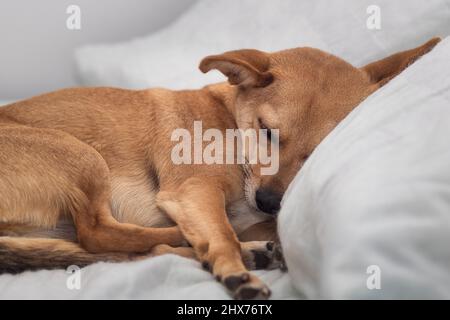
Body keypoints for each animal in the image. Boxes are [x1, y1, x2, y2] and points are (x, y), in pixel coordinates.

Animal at [0, 38, 440, 300]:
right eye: (266, 130)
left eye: (316, 152)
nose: (270, 202)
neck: (231, 123)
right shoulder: (194, 190)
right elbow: (222, 233)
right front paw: (233, 265)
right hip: (79, 154)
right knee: (98, 233)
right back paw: (216, 244)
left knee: (125, 249)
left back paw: (244, 250)